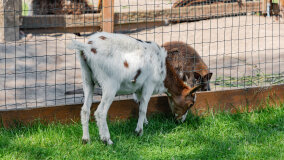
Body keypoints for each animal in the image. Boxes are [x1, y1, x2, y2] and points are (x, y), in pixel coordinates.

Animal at [69, 32, 201, 145]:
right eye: (190, 104)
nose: (180, 121)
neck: (162, 69)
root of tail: (86, 47)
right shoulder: (149, 84)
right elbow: (143, 108)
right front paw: (139, 131)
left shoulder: (138, 88)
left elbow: (139, 103)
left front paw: (145, 123)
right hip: (110, 84)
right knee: (100, 112)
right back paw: (107, 140)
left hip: (87, 79)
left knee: (85, 109)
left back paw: (86, 140)